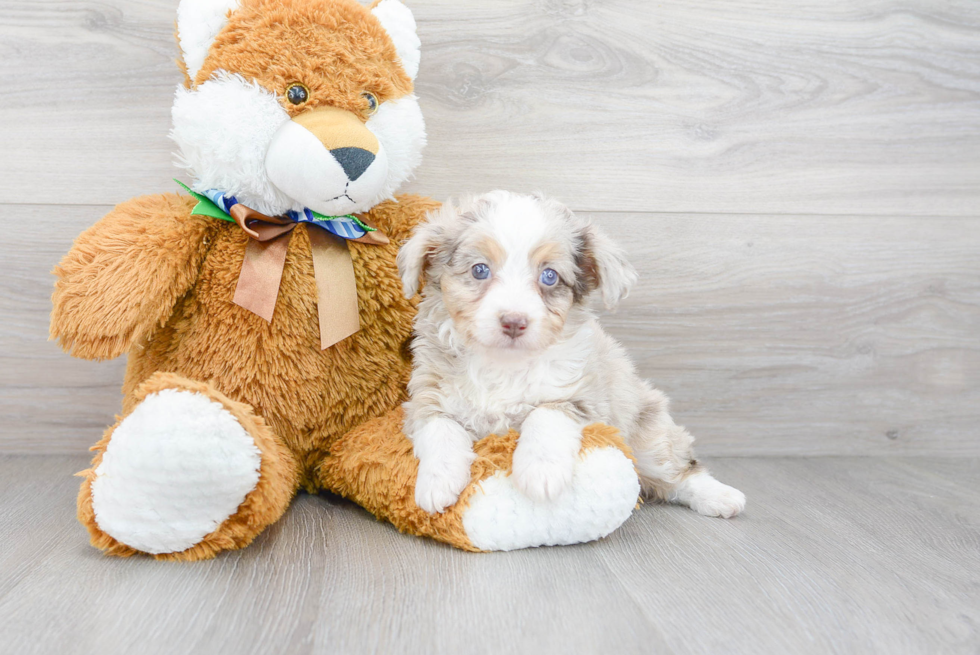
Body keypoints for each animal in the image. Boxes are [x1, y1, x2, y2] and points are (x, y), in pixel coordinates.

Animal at [396, 190, 744, 516]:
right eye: (479, 270)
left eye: (549, 276)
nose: (514, 322)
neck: (502, 363)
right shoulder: (427, 396)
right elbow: (440, 429)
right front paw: (437, 482)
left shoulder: (581, 397)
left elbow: (545, 415)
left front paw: (540, 472)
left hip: (649, 435)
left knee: (679, 470)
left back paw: (720, 496)